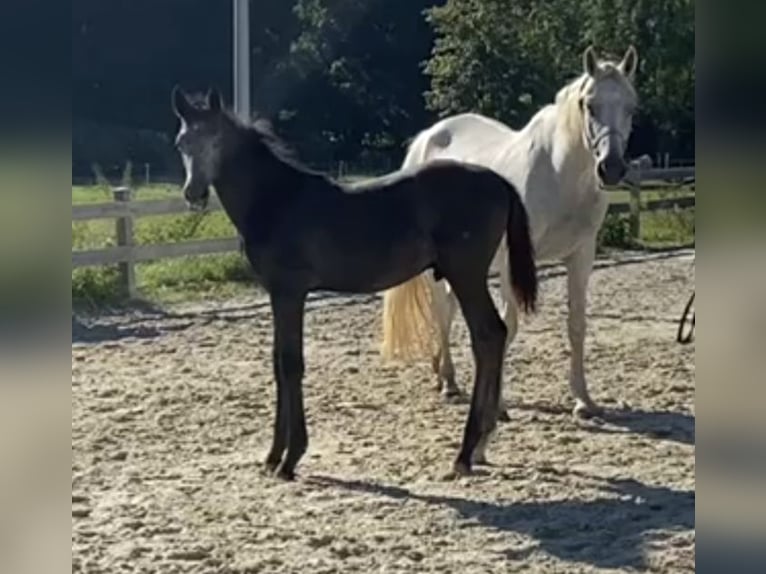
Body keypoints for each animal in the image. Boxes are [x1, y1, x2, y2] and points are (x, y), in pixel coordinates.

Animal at [170, 86, 538, 480]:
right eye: (182, 142)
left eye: (216, 139)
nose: (193, 193)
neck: (278, 199)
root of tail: (499, 182)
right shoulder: (278, 293)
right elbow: (277, 363)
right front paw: (272, 456)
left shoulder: (290, 291)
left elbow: (291, 363)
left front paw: (290, 458)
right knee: (493, 336)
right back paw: (481, 442)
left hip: (466, 274)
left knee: (488, 336)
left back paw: (465, 453)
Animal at [380, 45, 639, 428]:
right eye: (589, 104)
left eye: (631, 107)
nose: (612, 168)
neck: (559, 173)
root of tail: (428, 136)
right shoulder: (511, 261)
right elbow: (509, 325)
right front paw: (498, 405)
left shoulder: (582, 256)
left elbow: (576, 325)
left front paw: (583, 401)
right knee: (441, 309)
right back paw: (449, 382)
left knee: (449, 308)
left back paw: (442, 374)